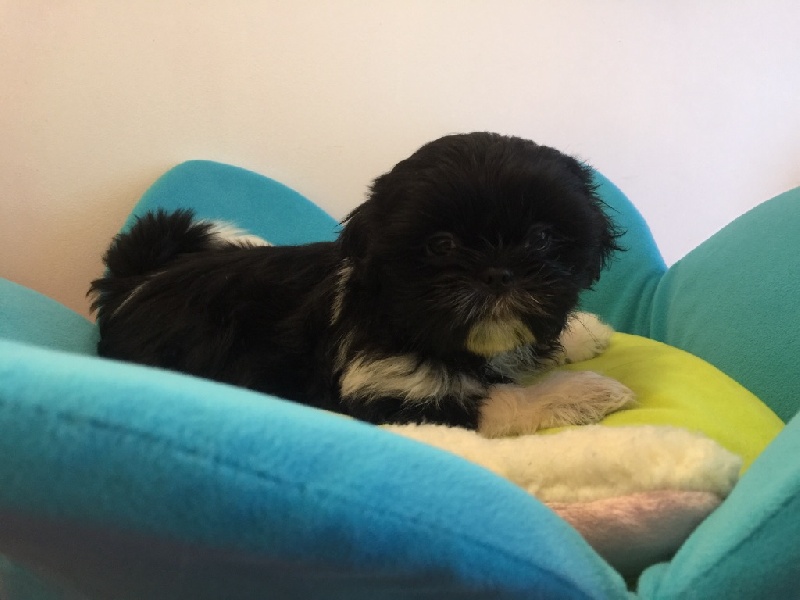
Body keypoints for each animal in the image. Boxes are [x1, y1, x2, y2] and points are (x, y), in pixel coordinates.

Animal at [89, 132, 634, 435]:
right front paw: (583, 392)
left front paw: (584, 333)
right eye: (441, 246)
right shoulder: (393, 392)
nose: (498, 272)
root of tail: (138, 281)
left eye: (541, 238)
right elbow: (499, 398)